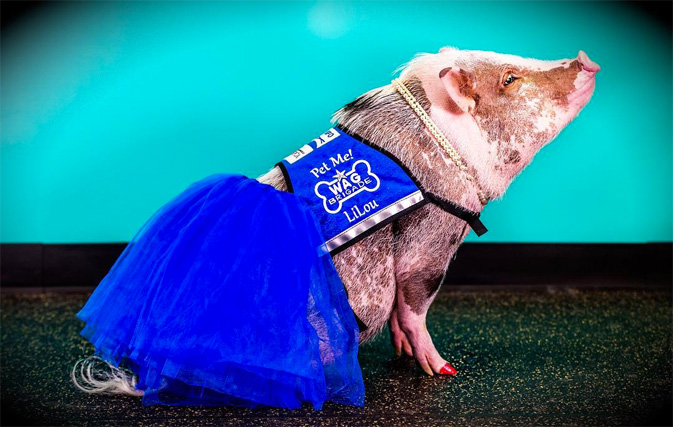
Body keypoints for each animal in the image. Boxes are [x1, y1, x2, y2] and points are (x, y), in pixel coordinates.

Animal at [260, 46, 600, 374]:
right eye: (509, 79)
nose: (585, 58)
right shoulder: (433, 230)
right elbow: (413, 302)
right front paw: (442, 369)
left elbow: (399, 312)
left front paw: (404, 354)